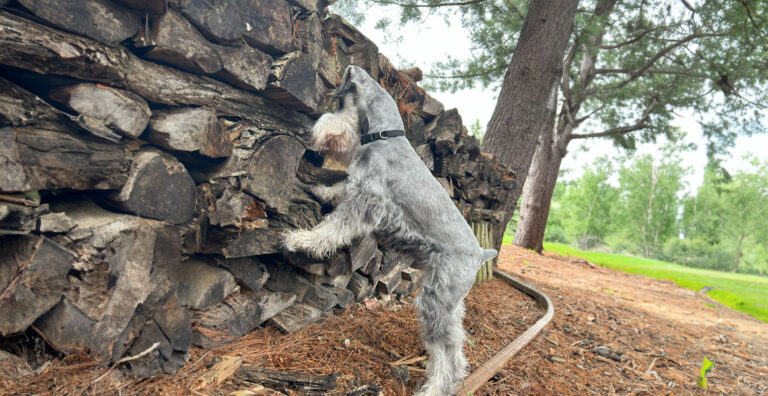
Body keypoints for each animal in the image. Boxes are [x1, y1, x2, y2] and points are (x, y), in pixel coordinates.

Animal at [284, 65, 498, 396]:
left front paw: (302, 240)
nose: (312, 131)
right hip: (451, 303)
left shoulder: (366, 203)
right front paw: (319, 189)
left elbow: (333, 227)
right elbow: (338, 189)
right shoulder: (356, 188)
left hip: (435, 301)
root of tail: (480, 253)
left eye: (338, 103)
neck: (385, 135)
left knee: (449, 354)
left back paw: (434, 388)